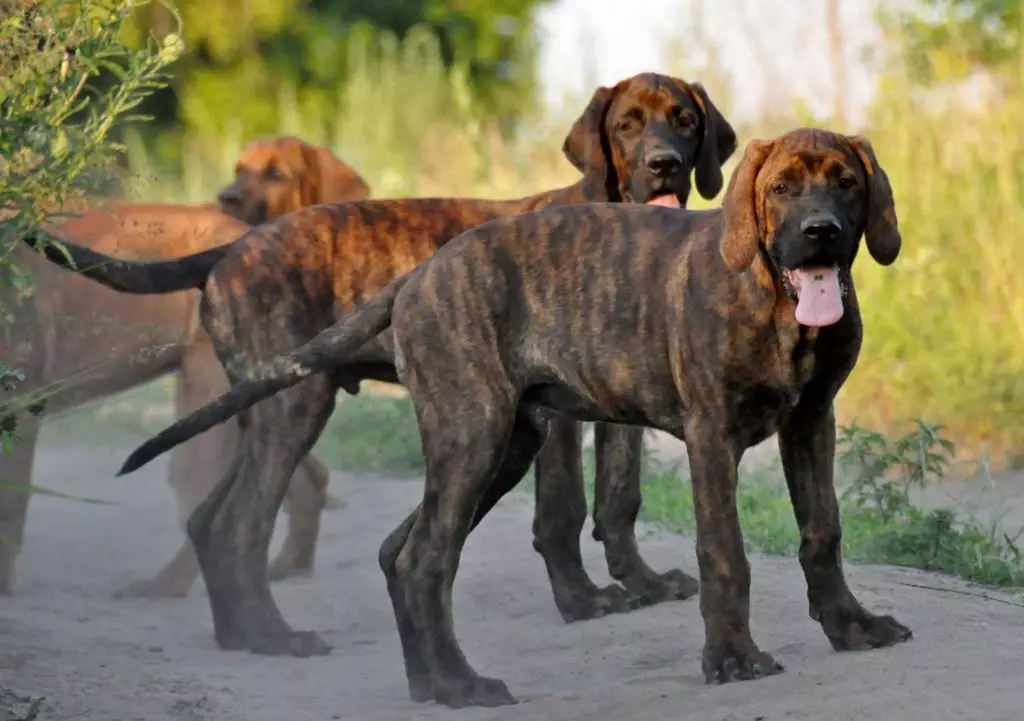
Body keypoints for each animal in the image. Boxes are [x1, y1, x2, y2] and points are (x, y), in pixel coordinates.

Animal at [2, 135, 370, 598]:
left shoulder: (22, 398)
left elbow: (11, 504)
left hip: (206, 409)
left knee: (204, 509)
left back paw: (166, 587)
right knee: (303, 479)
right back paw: (289, 567)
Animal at [123, 126, 917, 708]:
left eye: (845, 182)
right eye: (781, 188)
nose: (820, 231)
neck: (779, 308)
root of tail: (419, 274)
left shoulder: (813, 422)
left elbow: (823, 532)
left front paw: (849, 625)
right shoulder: (710, 436)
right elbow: (725, 552)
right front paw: (732, 657)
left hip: (503, 443)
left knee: (396, 550)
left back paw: (429, 684)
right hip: (460, 433)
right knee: (419, 559)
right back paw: (457, 683)